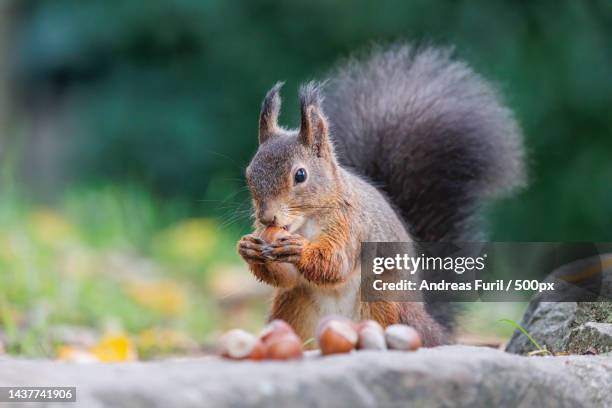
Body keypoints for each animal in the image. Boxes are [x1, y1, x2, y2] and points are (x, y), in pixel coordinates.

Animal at [237, 43, 524, 344]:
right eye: (249, 173)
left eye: (300, 175)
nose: (266, 218)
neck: (305, 222)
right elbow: (286, 277)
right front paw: (248, 247)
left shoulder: (351, 226)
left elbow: (336, 263)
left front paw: (298, 248)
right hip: (292, 306)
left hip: (385, 299)